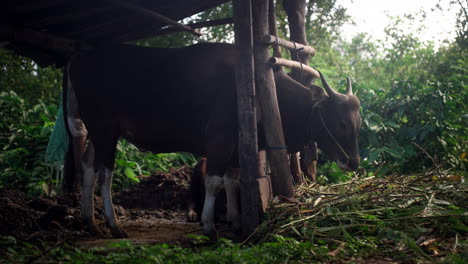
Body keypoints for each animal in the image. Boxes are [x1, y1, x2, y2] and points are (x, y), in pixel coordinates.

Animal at [64, 42, 360, 238]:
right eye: (341, 123)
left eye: (358, 123)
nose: (354, 163)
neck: (256, 87)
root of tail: (77, 60)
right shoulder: (220, 139)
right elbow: (214, 182)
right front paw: (209, 226)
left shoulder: (235, 147)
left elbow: (231, 180)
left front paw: (236, 221)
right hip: (105, 129)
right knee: (105, 172)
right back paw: (114, 225)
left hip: (97, 131)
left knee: (88, 167)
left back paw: (90, 222)